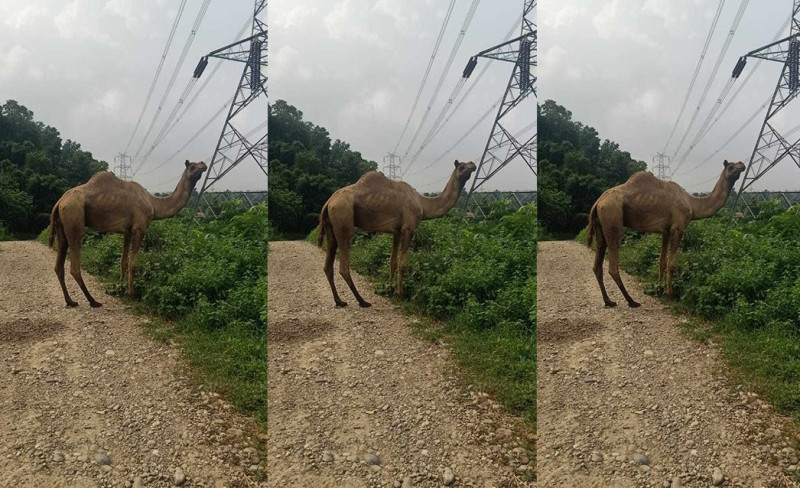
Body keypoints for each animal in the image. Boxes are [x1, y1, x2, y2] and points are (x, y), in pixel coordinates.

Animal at [47, 160, 206, 306]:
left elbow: (123, 261)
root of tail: (59, 202)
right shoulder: (139, 228)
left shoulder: (127, 231)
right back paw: (93, 301)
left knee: (59, 263)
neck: (153, 204)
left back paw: (70, 301)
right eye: (192, 166)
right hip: (74, 215)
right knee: (74, 265)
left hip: (62, 224)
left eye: (199, 163)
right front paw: (131, 294)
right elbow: (133, 263)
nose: (204, 164)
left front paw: (119, 289)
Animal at [316, 162, 476, 306]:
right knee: (343, 265)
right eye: (461, 166)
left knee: (328, 264)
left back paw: (340, 301)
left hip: (332, 225)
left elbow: (392, 261)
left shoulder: (397, 231)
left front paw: (388, 289)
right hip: (343, 215)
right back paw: (362, 301)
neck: (422, 204)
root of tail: (329, 202)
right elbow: (402, 263)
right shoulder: (408, 229)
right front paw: (400, 294)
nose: (473, 165)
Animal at [584, 159, 748, 308]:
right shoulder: (677, 228)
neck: (692, 204)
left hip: (601, 225)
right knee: (613, 265)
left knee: (597, 264)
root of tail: (597, 202)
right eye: (731, 166)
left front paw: (657, 289)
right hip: (612, 217)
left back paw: (609, 301)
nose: (742, 164)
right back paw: (632, 301)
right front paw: (670, 294)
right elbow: (672, 263)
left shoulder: (666, 231)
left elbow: (661, 261)